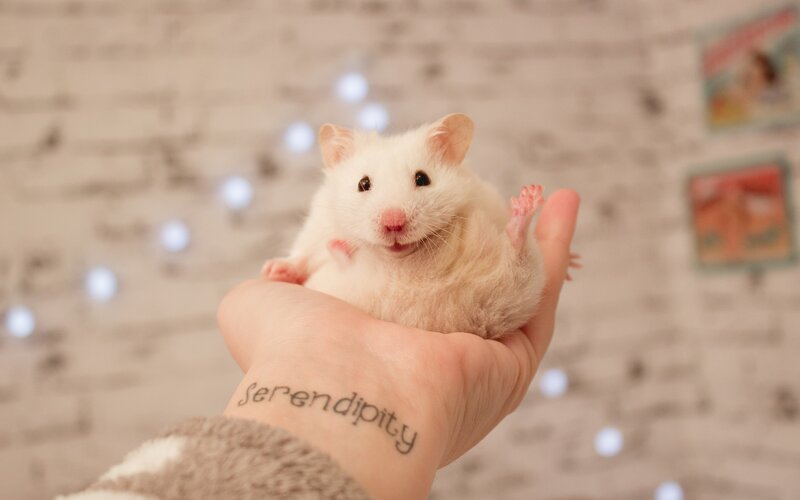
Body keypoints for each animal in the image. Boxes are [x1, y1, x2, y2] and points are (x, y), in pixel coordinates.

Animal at [261, 113, 545, 339]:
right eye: (363, 184)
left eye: (423, 178)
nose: (393, 224)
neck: (398, 265)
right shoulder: (318, 227)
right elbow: (304, 255)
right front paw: (273, 270)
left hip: (514, 293)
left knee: (518, 258)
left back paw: (528, 201)